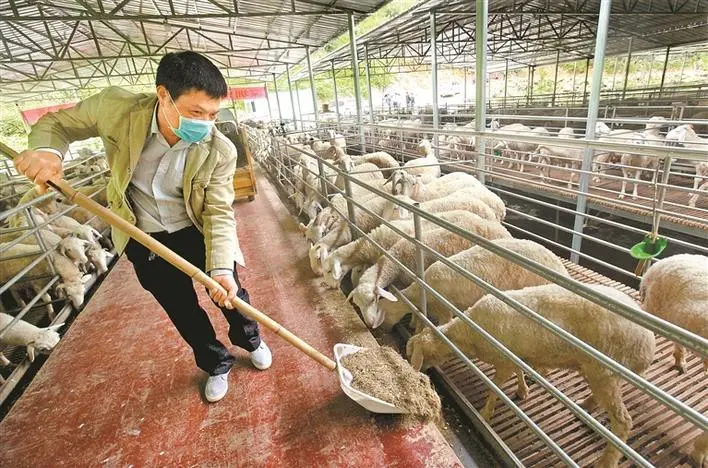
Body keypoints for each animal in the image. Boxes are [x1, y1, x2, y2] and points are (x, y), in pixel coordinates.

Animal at [406, 284, 656, 468]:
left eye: (419, 354)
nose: (419, 371)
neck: (469, 333)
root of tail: (648, 342)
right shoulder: (515, 355)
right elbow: (518, 372)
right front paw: (522, 390)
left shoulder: (504, 360)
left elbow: (495, 386)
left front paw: (485, 413)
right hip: (601, 374)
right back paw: (586, 405)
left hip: (606, 373)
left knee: (623, 422)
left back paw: (606, 461)